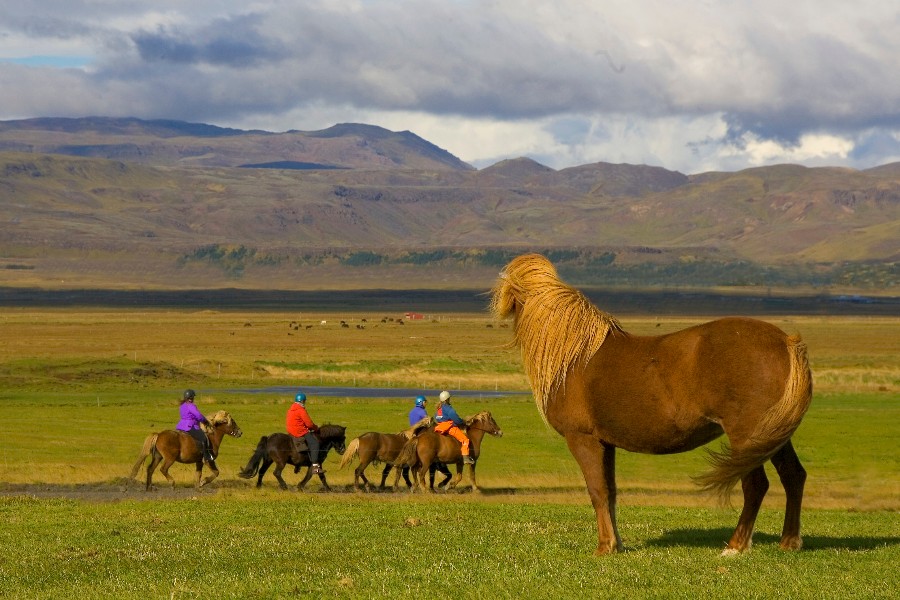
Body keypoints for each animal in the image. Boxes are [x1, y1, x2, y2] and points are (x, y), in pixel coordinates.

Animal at [492, 251, 816, 556]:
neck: (574, 357)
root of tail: (785, 341)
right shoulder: (606, 443)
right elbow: (611, 492)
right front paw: (617, 544)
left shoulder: (582, 439)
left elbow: (597, 491)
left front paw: (604, 547)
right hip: (773, 434)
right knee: (793, 476)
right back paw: (789, 542)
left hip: (747, 435)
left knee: (755, 485)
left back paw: (734, 547)